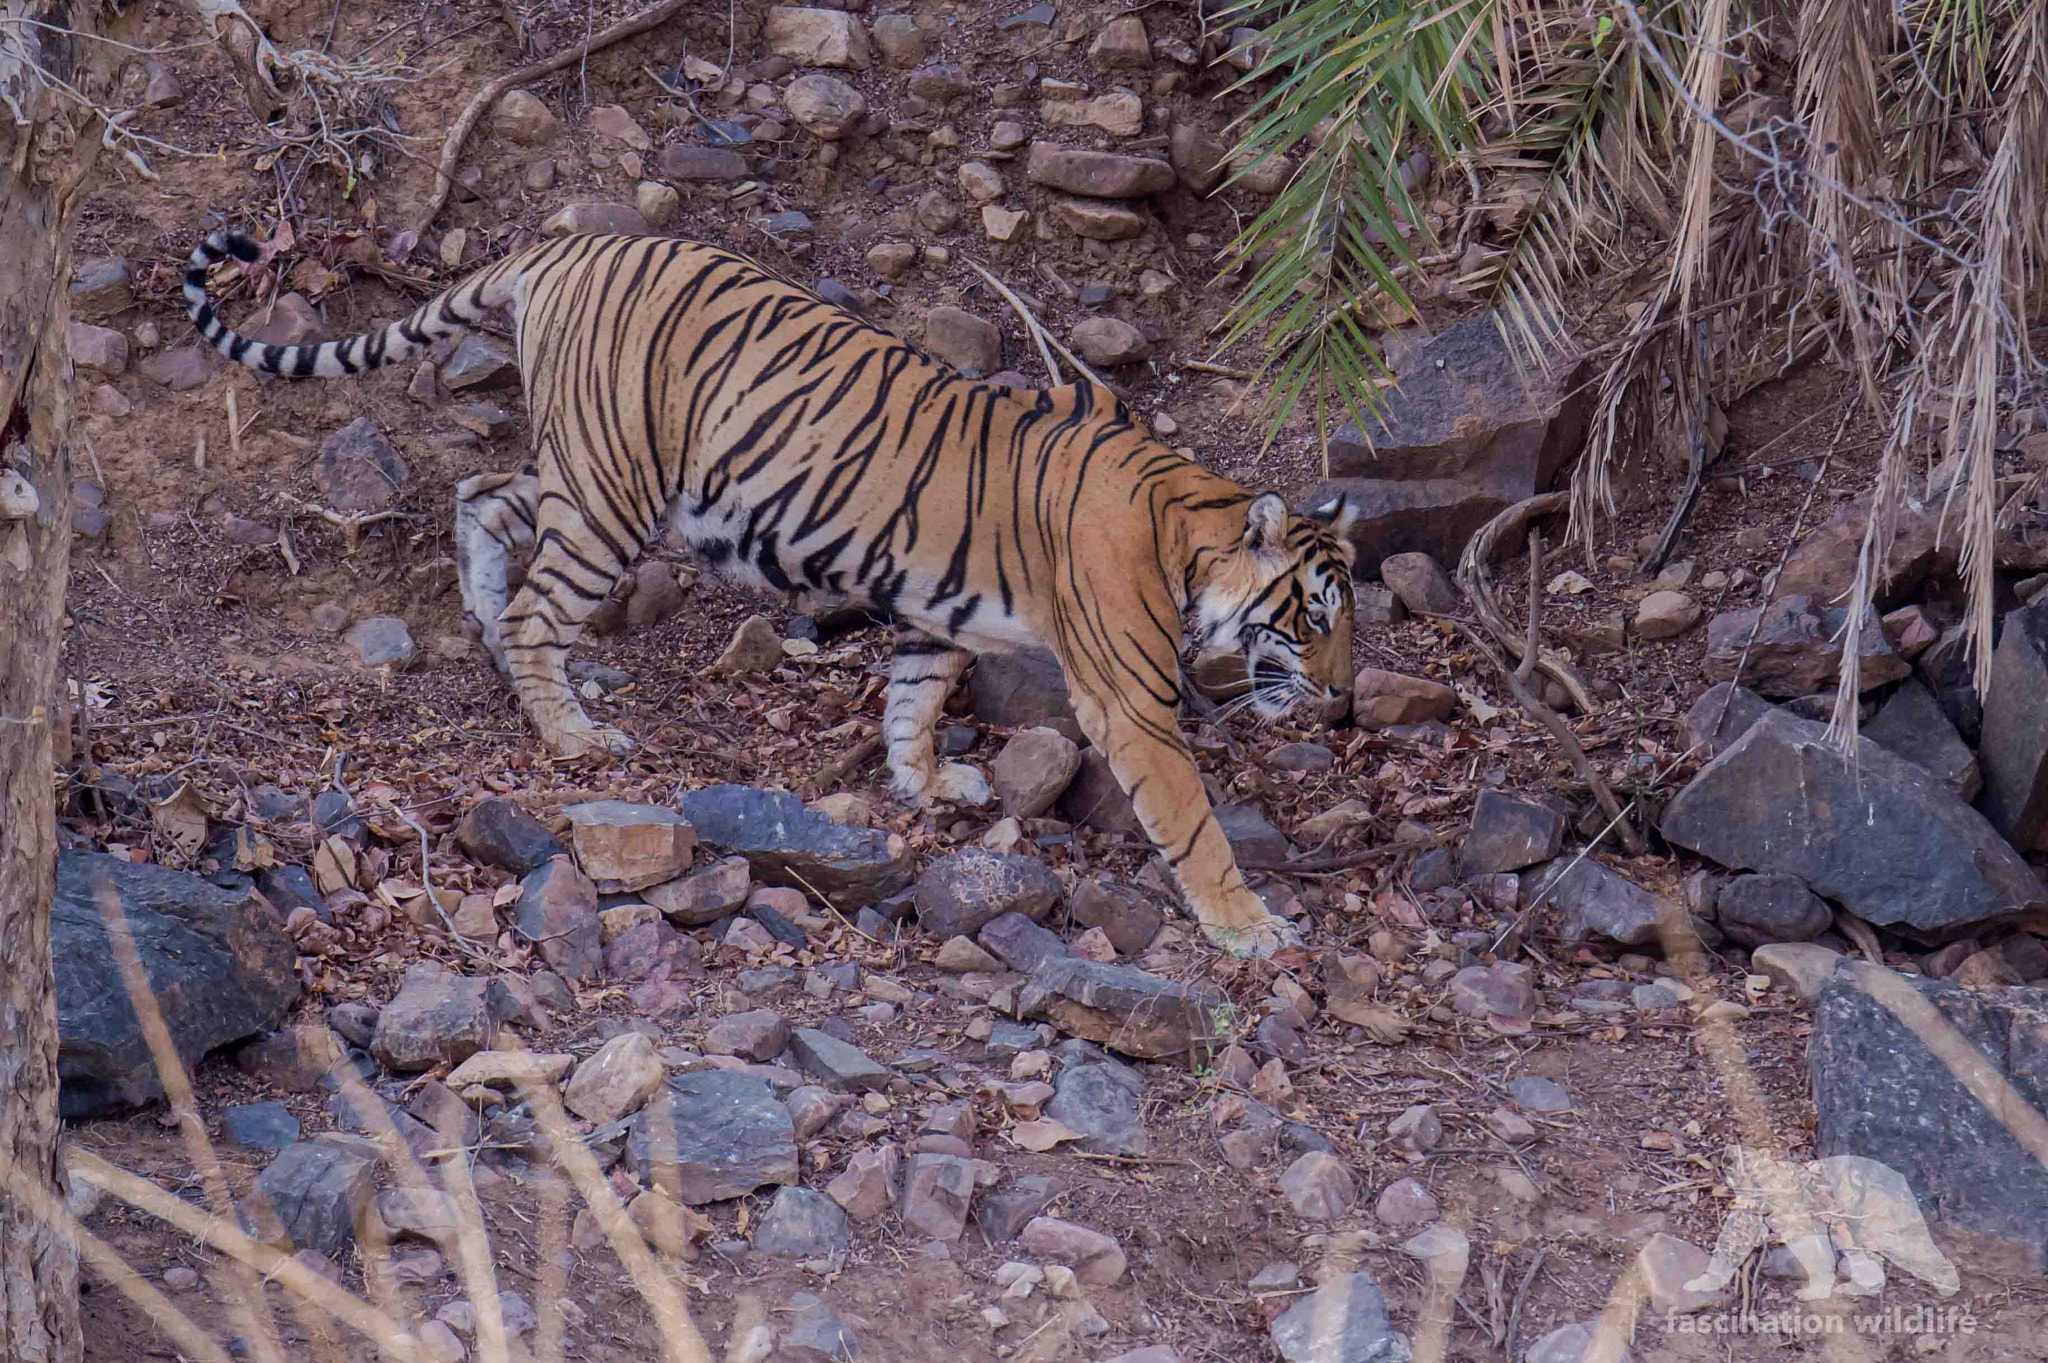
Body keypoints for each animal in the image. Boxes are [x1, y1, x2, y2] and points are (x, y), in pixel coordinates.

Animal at [184, 228, 1360, 956]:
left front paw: (925, 785)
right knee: (536, 606)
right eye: (1312, 622)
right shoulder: (1129, 698)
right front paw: (1248, 925)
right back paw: (569, 731)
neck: (1191, 529)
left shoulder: (935, 614)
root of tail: (564, 242)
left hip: (584, 471)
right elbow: (1189, 817)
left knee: (482, 496)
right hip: (613, 488)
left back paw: (482, 619)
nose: (1347, 704)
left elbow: (913, 698)